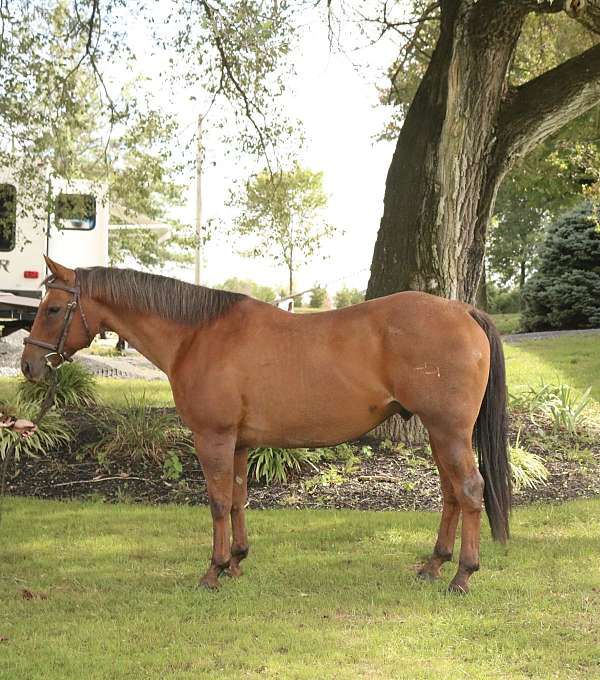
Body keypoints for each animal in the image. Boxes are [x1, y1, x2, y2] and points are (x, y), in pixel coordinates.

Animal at [22, 258, 510, 592]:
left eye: (53, 309)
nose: (28, 365)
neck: (197, 334)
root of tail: (463, 311)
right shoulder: (238, 444)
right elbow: (238, 499)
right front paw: (237, 562)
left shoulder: (212, 439)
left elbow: (218, 502)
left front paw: (213, 571)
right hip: (440, 434)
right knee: (451, 493)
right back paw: (434, 565)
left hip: (448, 431)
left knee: (469, 490)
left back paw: (462, 575)